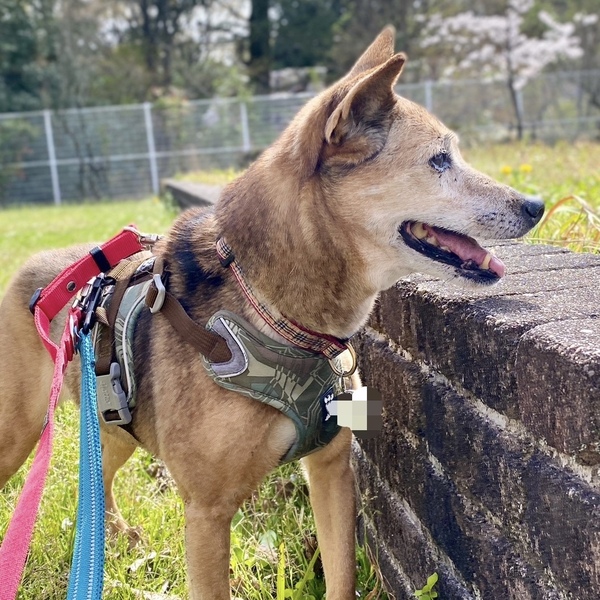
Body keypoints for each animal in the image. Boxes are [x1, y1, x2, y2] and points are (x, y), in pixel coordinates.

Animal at [0, 26, 543, 599]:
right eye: (440, 160)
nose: (537, 206)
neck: (275, 311)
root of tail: (40, 268)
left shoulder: (331, 470)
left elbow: (341, 576)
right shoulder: (208, 511)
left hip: (114, 422)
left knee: (98, 472)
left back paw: (115, 536)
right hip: (18, 432)